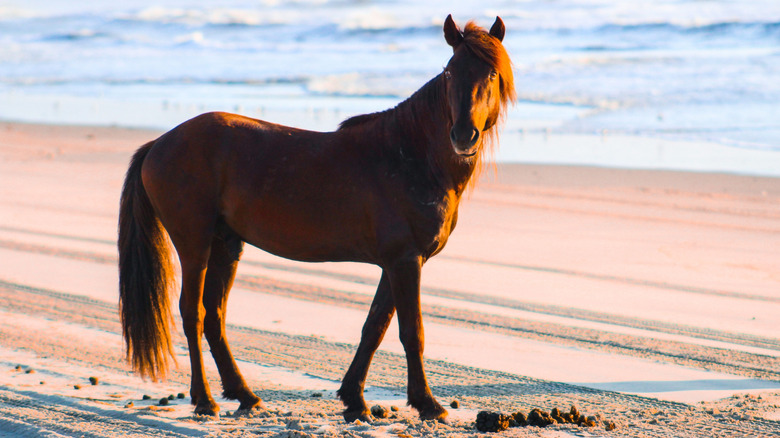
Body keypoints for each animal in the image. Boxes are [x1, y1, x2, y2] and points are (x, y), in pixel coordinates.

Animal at [119, 15, 516, 422]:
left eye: (491, 73)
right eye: (451, 72)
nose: (463, 135)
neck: (411, 156)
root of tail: (159, 143)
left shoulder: (397, 262)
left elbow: (374, 327)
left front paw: (354, 400)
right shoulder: (406, 261)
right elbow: (411, 332)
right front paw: (427, 404)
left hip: (226, 245)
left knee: (214, 317)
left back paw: (245, 395)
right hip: (194, 244)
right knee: (192, 314)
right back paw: (205, 400)